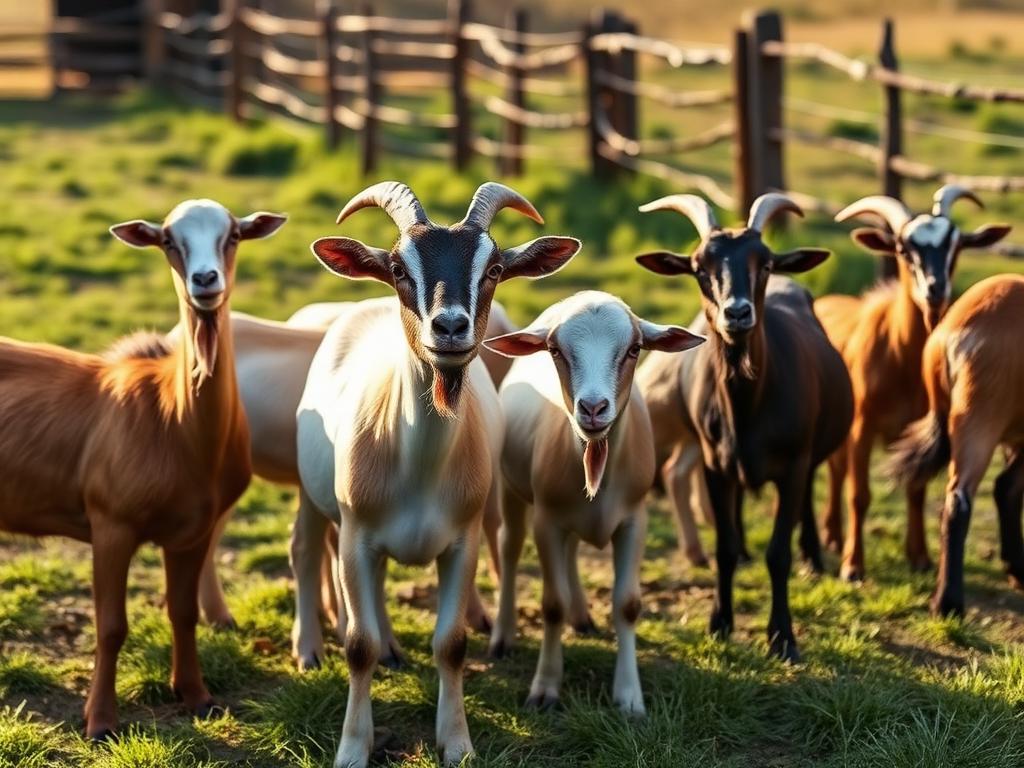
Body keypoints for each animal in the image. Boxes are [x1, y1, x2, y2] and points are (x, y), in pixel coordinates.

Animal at [0, 199, 285, 739]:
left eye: (234, 236)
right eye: (169, 241)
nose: (205, 280)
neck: (175, 419)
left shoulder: (194, 532)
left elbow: (184, 613)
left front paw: (196, 695)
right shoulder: (111, 524)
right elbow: (111, 627)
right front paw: (101, 720)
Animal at [295, 182, 580, 767]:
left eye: (494, 267)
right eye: (399, 268)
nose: (449, 327)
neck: (419, 469)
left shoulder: (460, 543)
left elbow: (450, 645)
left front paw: (457, 742)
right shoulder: (357, 537)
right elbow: (358, 646)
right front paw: (352, 748)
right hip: (318, 504)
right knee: (312, 553)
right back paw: (320, 649)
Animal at [484, 291, 703, 713]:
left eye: (634, 349)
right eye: (555, 350)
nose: (593, 408)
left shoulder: (635, 519)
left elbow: (628, 605)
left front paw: (629, 696)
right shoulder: (547, 521)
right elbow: (552, 605)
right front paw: (545, 688)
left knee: (570, 553)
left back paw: (582, 616)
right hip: (510, 487)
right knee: (509, 548)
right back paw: (503, 636)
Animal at [635, 193, 852, 661]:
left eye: (765, 263)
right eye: (700, 267)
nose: (737, 313)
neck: (748, 408)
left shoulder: (793, 464)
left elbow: (779, 553)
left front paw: (783, 637)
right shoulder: (716, 468)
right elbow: (725, 547)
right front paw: (720, 622)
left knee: (808, 497)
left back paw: (812, 557)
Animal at [817, 186, 1011, 581]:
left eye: (957, 245)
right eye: (904, 250)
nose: (936, 290)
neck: (901, 357)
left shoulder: (918, 426)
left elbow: (916, 490)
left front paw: (919, 557)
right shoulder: (862, 427)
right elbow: (859, 494)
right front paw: (853, 566)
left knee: (837, 469)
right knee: (836, 471)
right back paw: (831, 538)